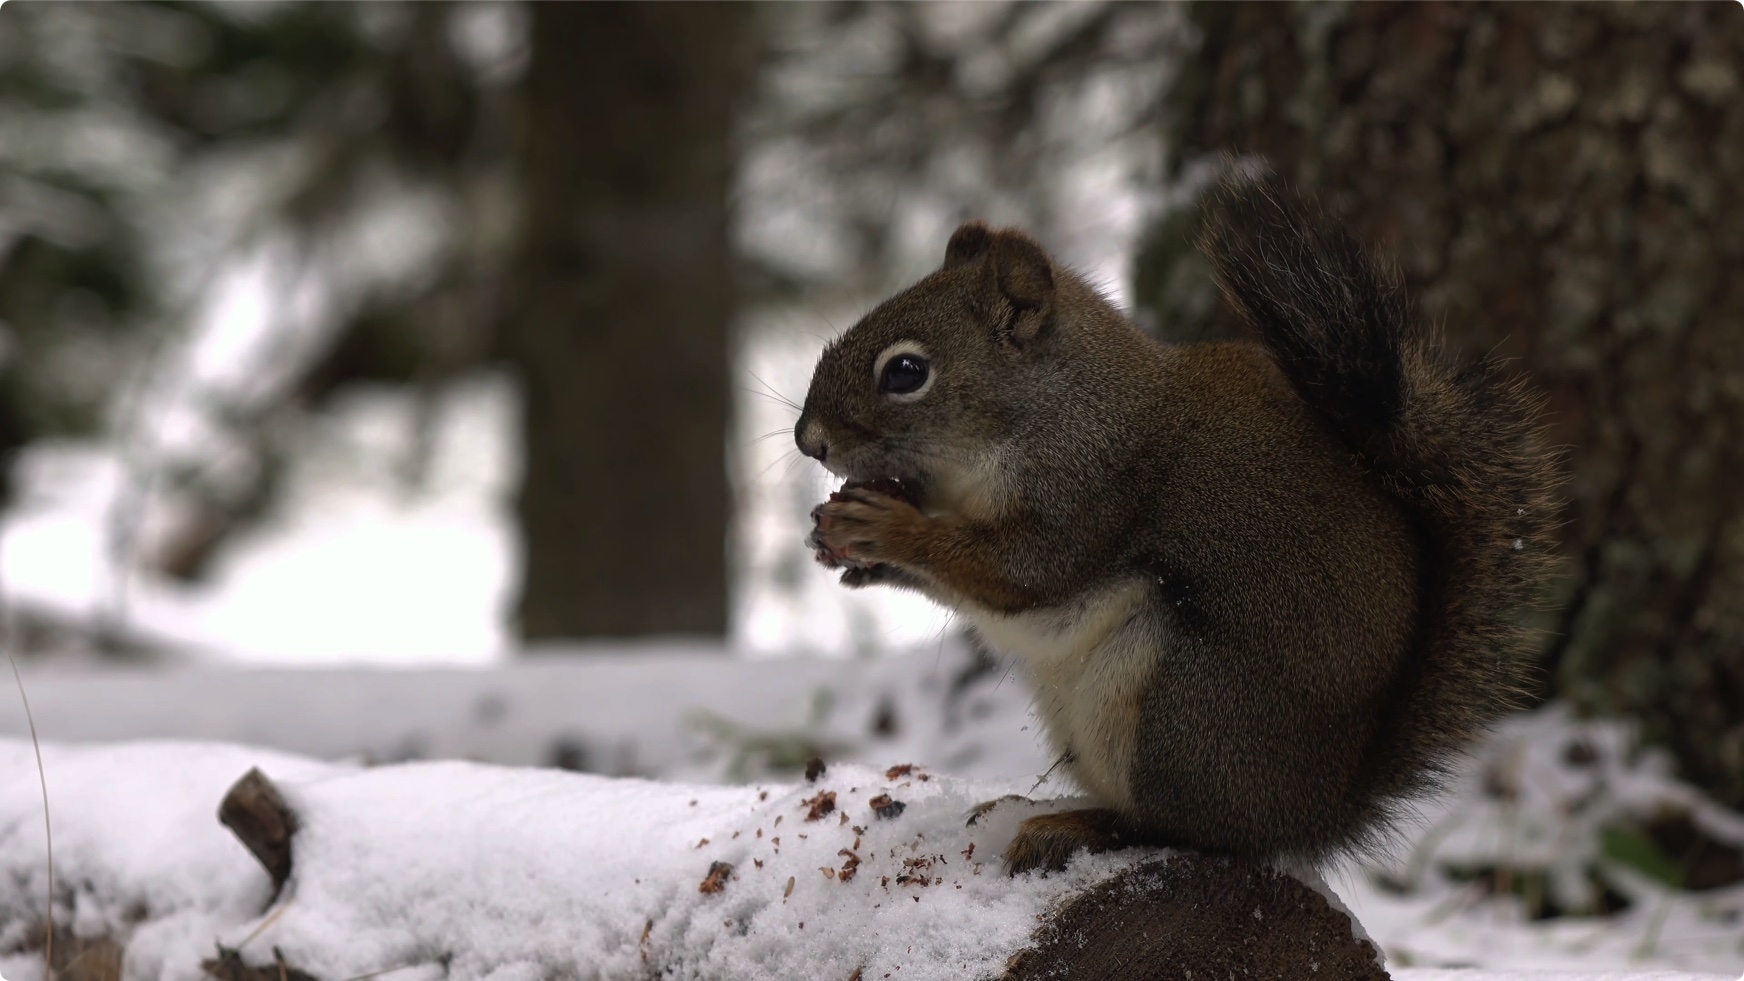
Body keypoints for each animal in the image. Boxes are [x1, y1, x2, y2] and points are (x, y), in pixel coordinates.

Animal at [794, 175, 1560, 875]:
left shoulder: (1090, 485)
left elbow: (1019, 573)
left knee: (1185, 828)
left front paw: (889, 528)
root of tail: (1314, 813)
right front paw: (841, 546)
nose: (808, 440)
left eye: (905, 371)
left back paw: (1076, 827)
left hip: (1179, 705)